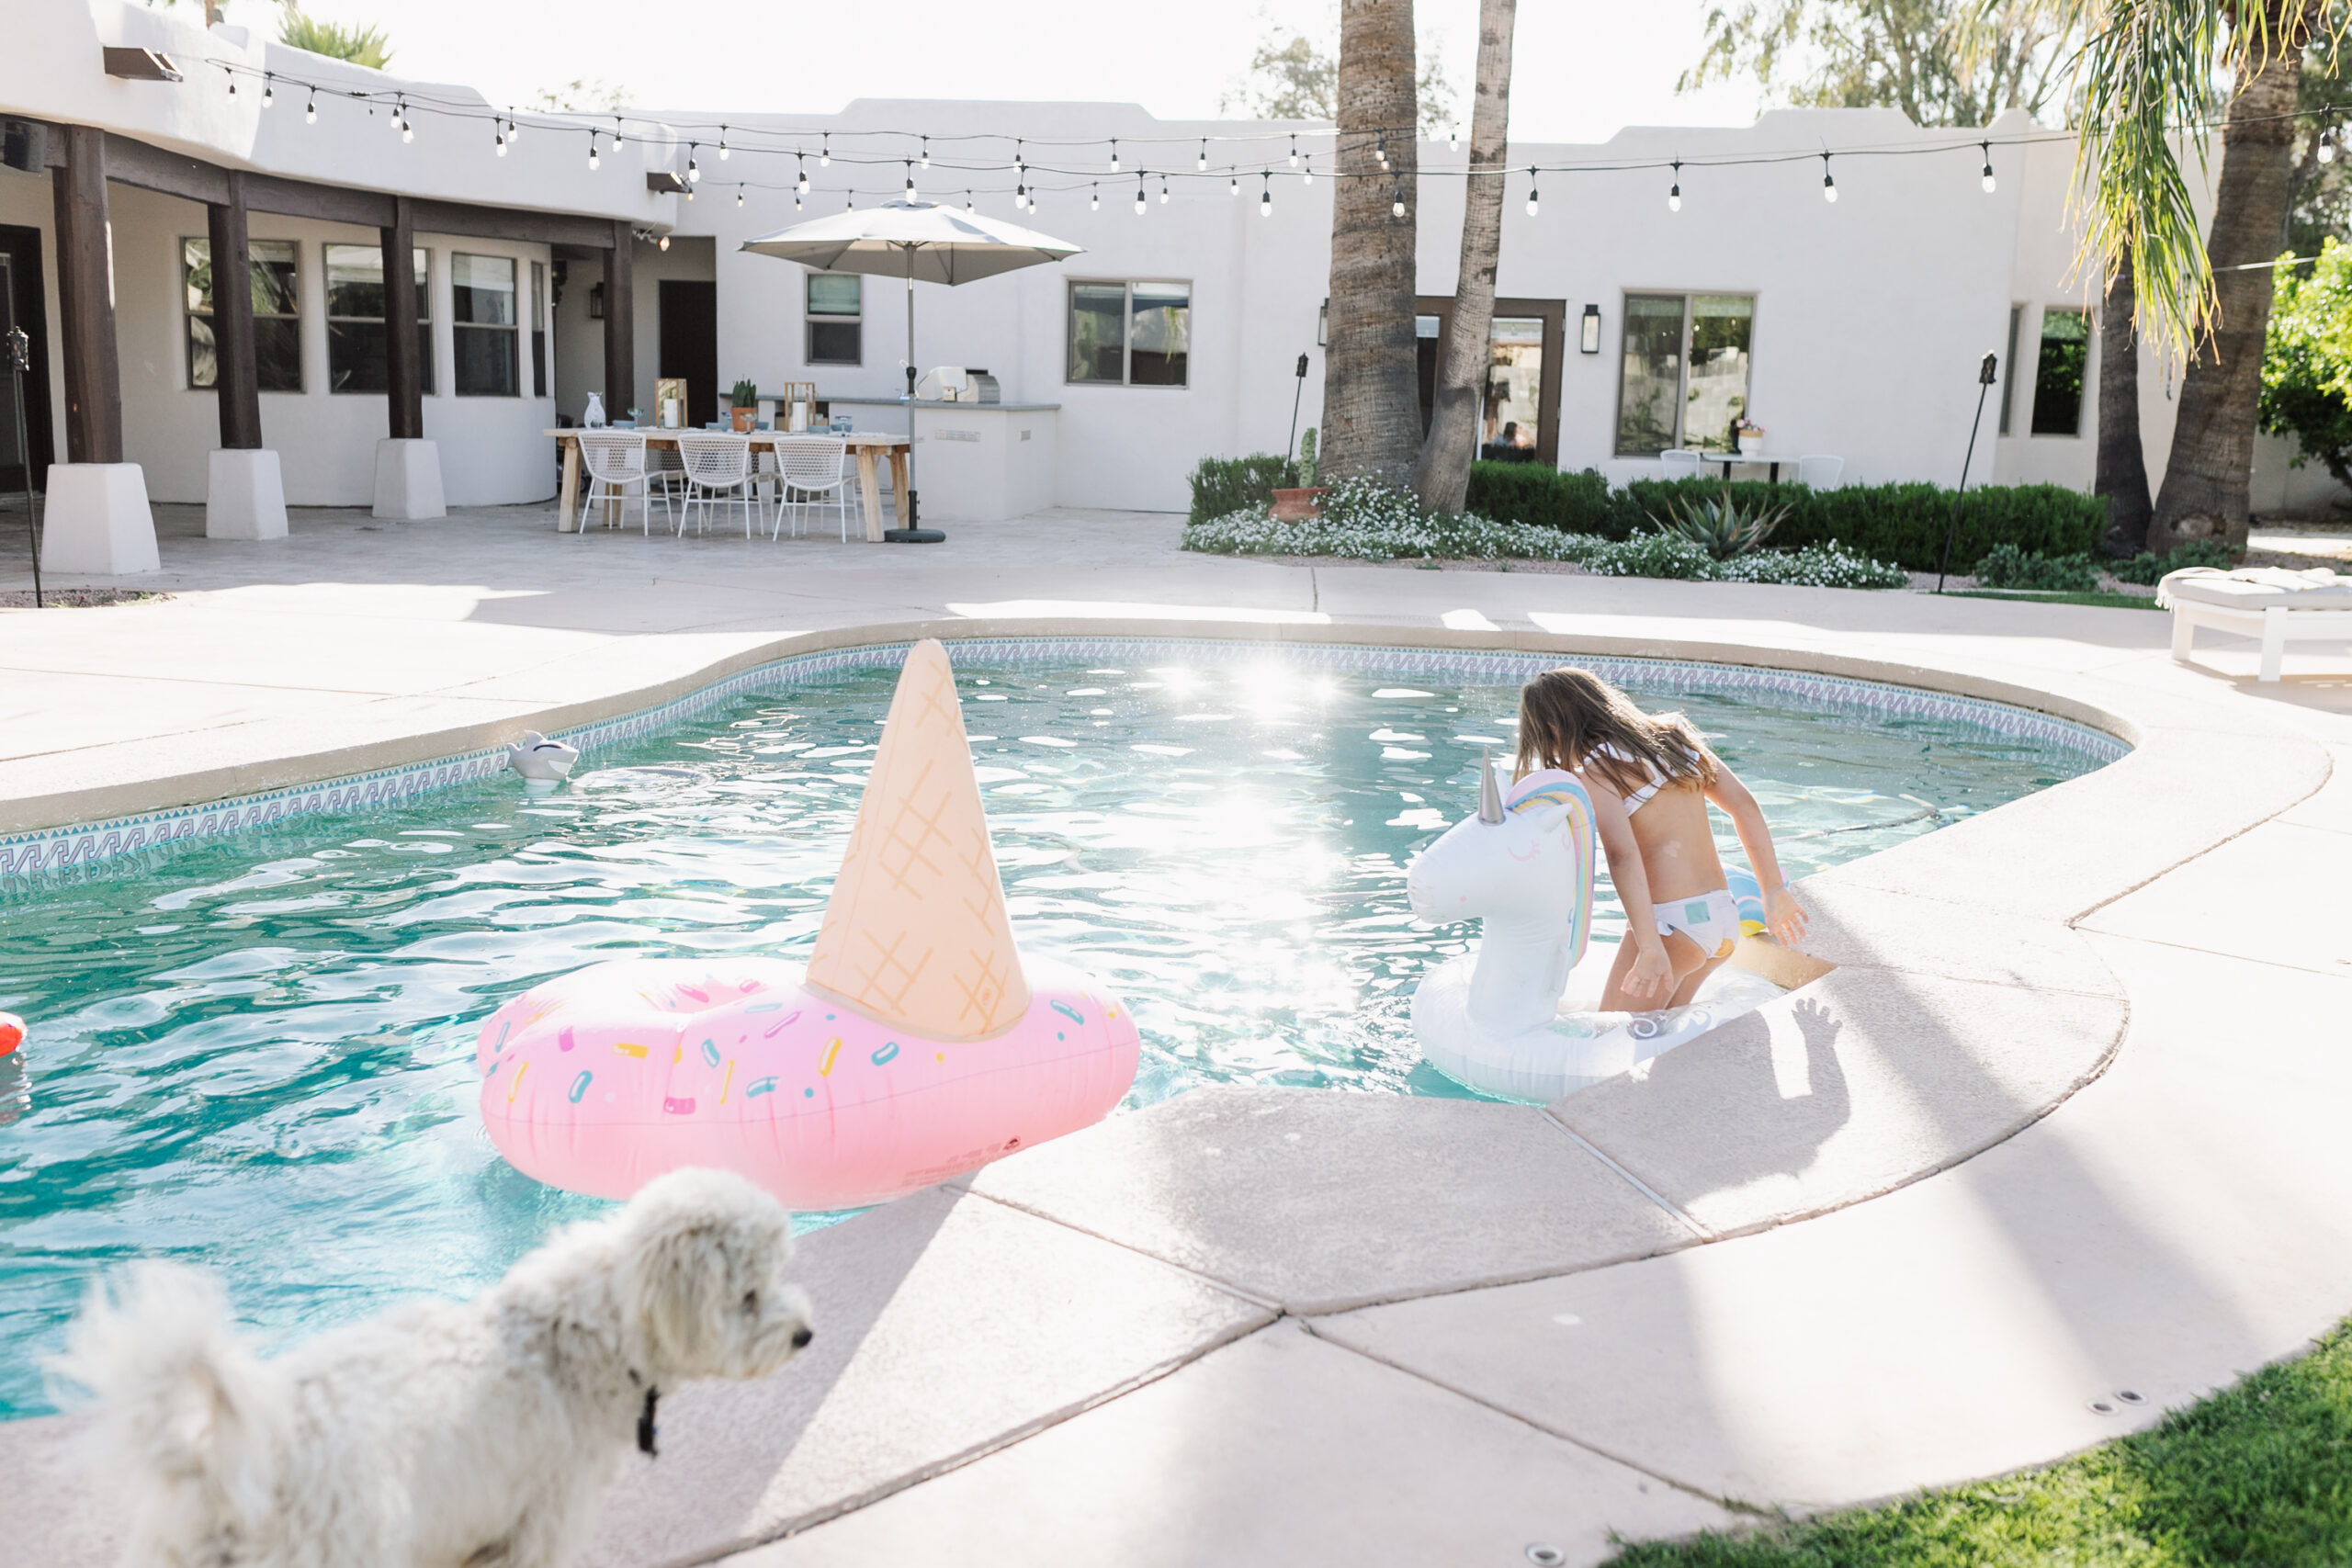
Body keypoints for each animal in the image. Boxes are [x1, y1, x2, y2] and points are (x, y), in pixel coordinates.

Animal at [51, 1170, 818, 1568]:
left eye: (780, 1272)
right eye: (749, 1295)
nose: (807, 1334)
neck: (594, 1327)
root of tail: (219, 1467)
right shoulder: (544, 1519)